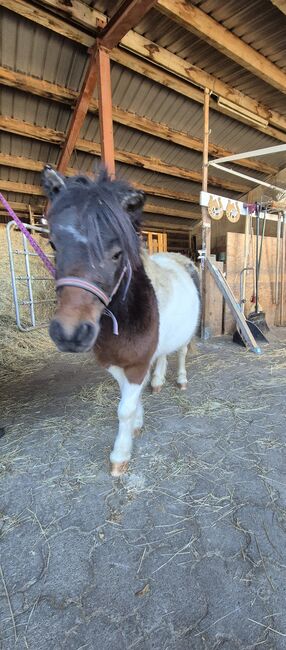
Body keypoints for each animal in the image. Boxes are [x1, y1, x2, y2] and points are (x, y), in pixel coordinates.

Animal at [42, 165, 201, 474]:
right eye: (54, 243)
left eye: (117, 254)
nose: (70, 333)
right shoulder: (116, 362)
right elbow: (130, 397)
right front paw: (138, 421)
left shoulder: (136, 364)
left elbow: (125, 408)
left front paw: (120, 455)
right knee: (163, 356)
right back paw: (158, 381)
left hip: (187, 335)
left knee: (181, 354)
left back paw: (181, 380)